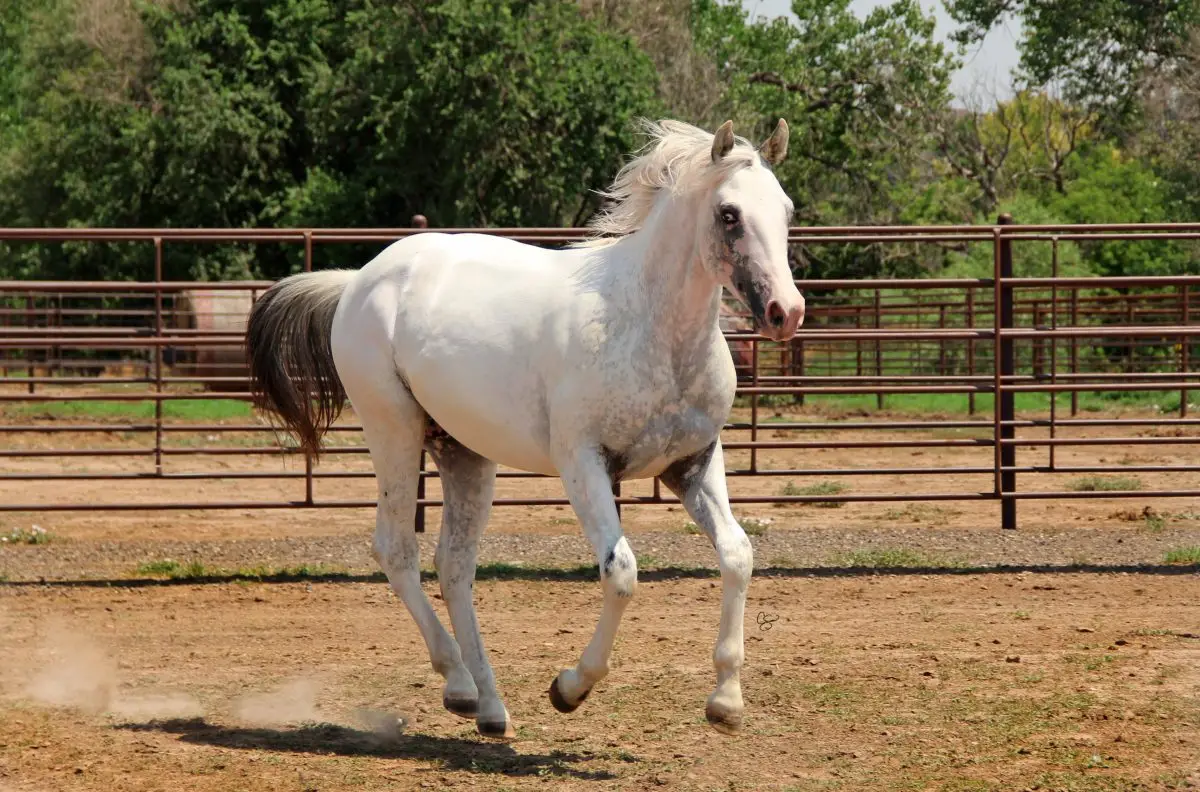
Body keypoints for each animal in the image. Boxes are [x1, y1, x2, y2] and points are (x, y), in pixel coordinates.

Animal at [245, 118, 805, 739]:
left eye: (786, 208)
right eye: (729, 213)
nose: (787, 312)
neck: (648, 327)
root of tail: (357, 282)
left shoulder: (694, 461)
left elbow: (737, 554)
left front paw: (726, 700)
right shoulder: (583, 462)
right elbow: (621, 572)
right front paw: (570, 688)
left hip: (462, 453)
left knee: (454, 565)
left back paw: (486, 704)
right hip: (393, 430)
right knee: (397, 551)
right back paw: (458, 682)